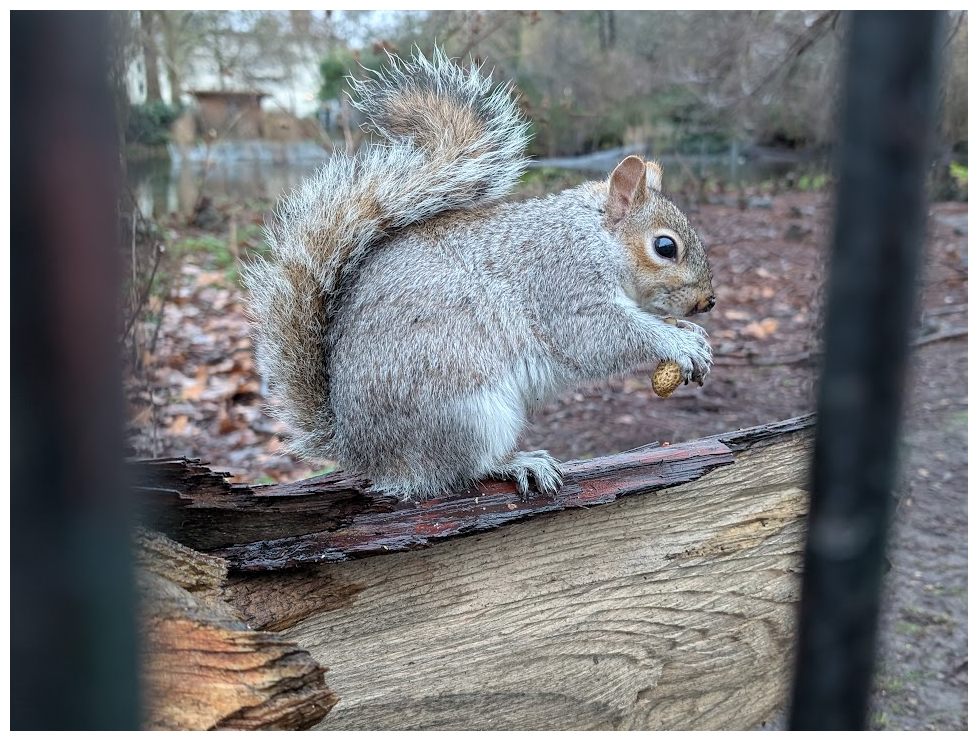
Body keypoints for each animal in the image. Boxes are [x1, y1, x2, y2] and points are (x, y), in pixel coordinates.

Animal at [243, 47, 715, 501]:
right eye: (665, 247)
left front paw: (693, 333)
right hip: (466, 407)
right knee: (462, 468)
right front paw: (676, 340)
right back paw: (517, 463)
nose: (708, 302)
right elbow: (598, 335)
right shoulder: (561, 280)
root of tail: (364, 452)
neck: (596, 238)